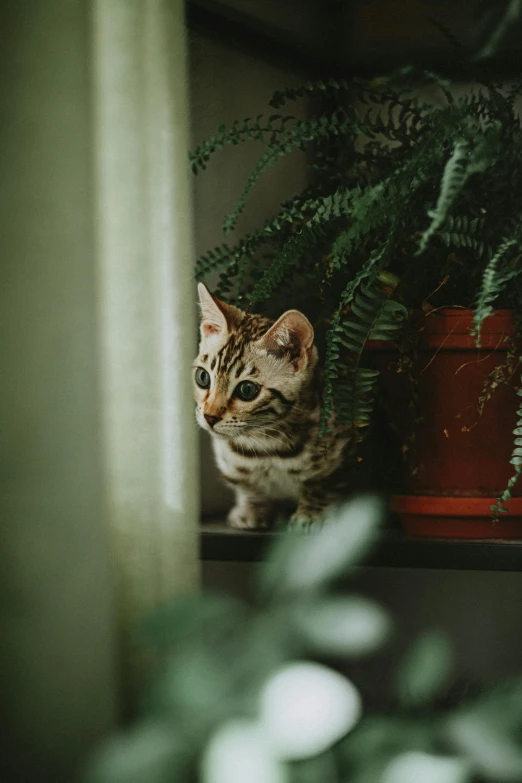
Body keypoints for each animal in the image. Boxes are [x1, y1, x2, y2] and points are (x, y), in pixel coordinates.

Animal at [193, 282, 356, 532]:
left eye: (247, 390)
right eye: (202, 378)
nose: (209, 416)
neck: (264, 444)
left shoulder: (342, 455)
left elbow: (321, 484)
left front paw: (311, 514)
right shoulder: (231, 464)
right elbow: (246, 485)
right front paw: (252, 508)